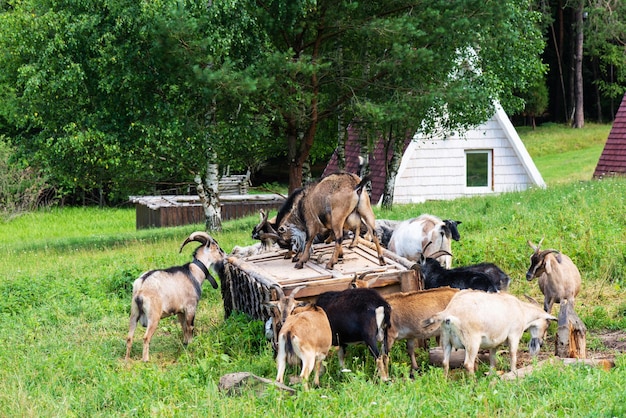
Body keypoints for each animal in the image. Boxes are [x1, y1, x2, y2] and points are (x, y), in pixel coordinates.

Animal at [124, 232, 224, 362]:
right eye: (217, 248)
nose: (224, 256)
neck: (193, 273)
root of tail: (141, 286)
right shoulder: (190, 307)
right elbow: (190, 327)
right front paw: (191, 344)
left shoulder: (180, 311)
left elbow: (184, 327)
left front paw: (185, 343)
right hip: (153, 316)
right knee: (146, 337)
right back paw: (145, 360)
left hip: (134, 313)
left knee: (129, 337)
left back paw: (126, 359)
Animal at [422, 290, 552, 376]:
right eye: (547, 324)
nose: (541, 342)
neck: (522, 311)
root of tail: (450, 311)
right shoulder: (514, 335)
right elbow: (513, 354)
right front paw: (513, 373)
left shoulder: (494, 342)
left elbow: (492, 358)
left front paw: (491, 374)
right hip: (472, 341)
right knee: (468, 364)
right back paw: (473, 384)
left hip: (445, 339)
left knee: (445, 362)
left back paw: (445, 381)